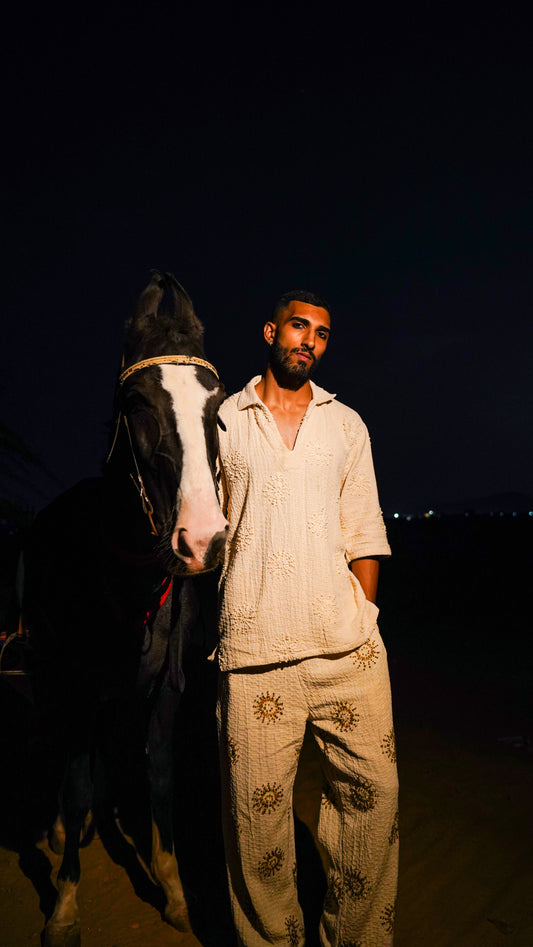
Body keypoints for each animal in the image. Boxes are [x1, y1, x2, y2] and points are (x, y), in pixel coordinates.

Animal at [20, 270, 228, 944]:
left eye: (217, 410)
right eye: (137, 404)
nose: (203, 540)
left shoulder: (166, 689)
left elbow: (158, 779)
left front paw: (173, 888)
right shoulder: (80, 686)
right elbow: (79, 784)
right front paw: (63, 904)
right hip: (52, 677)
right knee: (64, 750)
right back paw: (60, 828)